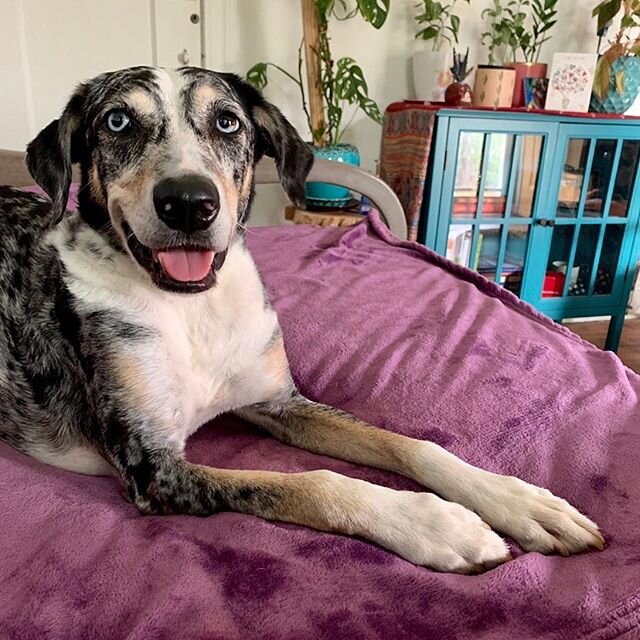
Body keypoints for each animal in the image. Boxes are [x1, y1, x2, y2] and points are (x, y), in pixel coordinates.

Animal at [0, 67, 604, 572]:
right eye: (117, 121)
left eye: (227, 121)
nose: (189, 202)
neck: (193, 307)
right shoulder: (151, 465)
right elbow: (310, 483)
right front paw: (433, 522)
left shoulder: (281, 403)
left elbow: (410, 445)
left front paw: (518, 501)